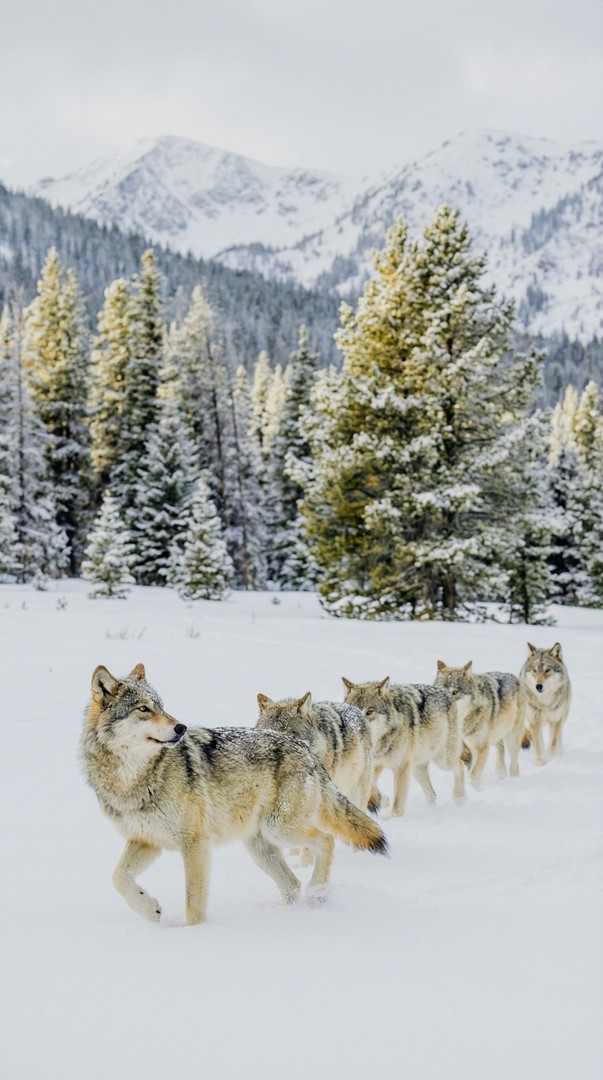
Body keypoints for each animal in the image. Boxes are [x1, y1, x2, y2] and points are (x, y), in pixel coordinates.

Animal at [81, 664, 387, 924]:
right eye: (143, 709)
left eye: (161, 707)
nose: (181, 728)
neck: (135, 778)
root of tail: (306, 750)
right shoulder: (144, 840)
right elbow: (118, 877)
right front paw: (150, 908)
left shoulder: (194, 844)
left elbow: (193, 903)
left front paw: (194, 933)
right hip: (260, 846)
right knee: (292, 884)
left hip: (279, 829)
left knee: (326, 840)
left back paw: (318, 894)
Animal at [341, 678, 465, 817]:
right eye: (352, 710)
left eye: (370, 712)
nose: (357, 726)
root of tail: (445, 691)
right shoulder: (374, 764)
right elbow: (371, 785)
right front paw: (383, 800)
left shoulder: (400, 767)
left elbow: (398, 802)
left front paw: (394, 818)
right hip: (417, 769)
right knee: (432, 794)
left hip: (442, 760)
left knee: (460, 764)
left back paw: (459, 798)